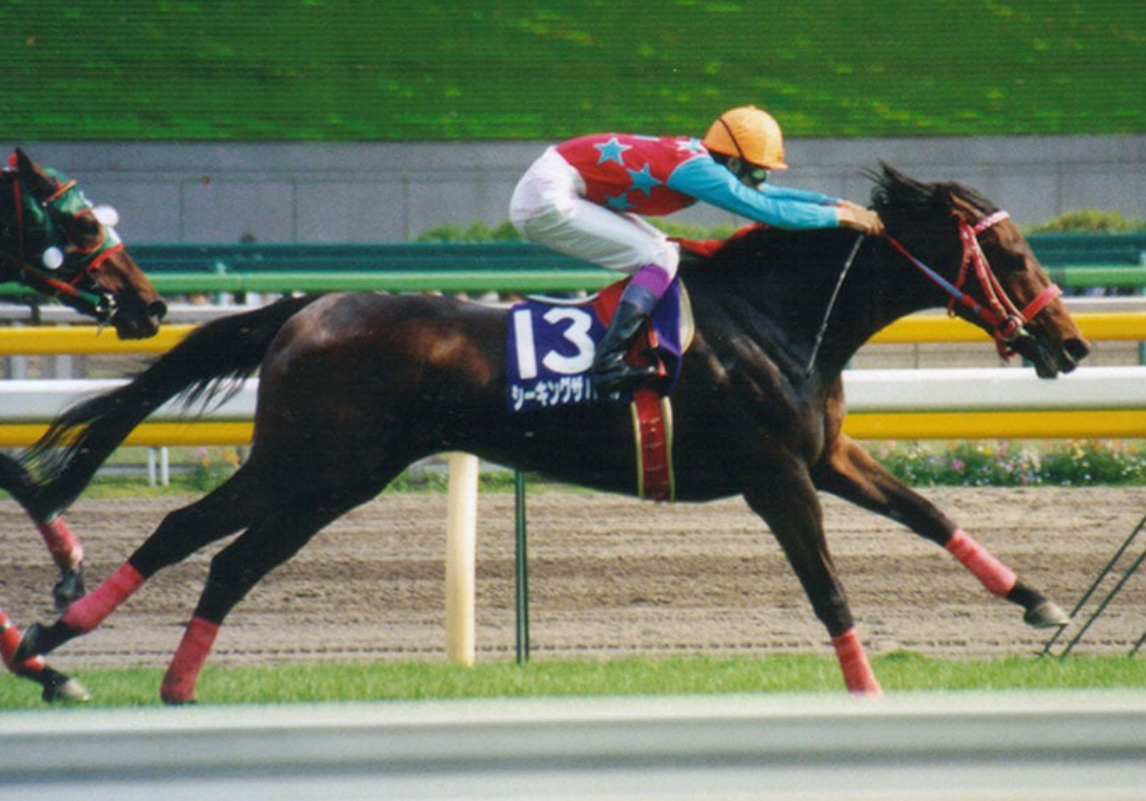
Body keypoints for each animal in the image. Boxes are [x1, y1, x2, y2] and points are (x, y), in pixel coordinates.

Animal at [16, 165, 1090, 702]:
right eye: (1011, 252)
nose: (1072, 343)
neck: (776, 314)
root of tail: (308, 307)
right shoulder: (775, 473)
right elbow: (828, 587)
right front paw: (866, 695)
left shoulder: (824, 455)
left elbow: (926, 513)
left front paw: (1038, 601)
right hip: (309, 465)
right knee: (182, 535)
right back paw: (49, 642)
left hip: (332, 480)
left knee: (229, 561)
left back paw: (165, 685)